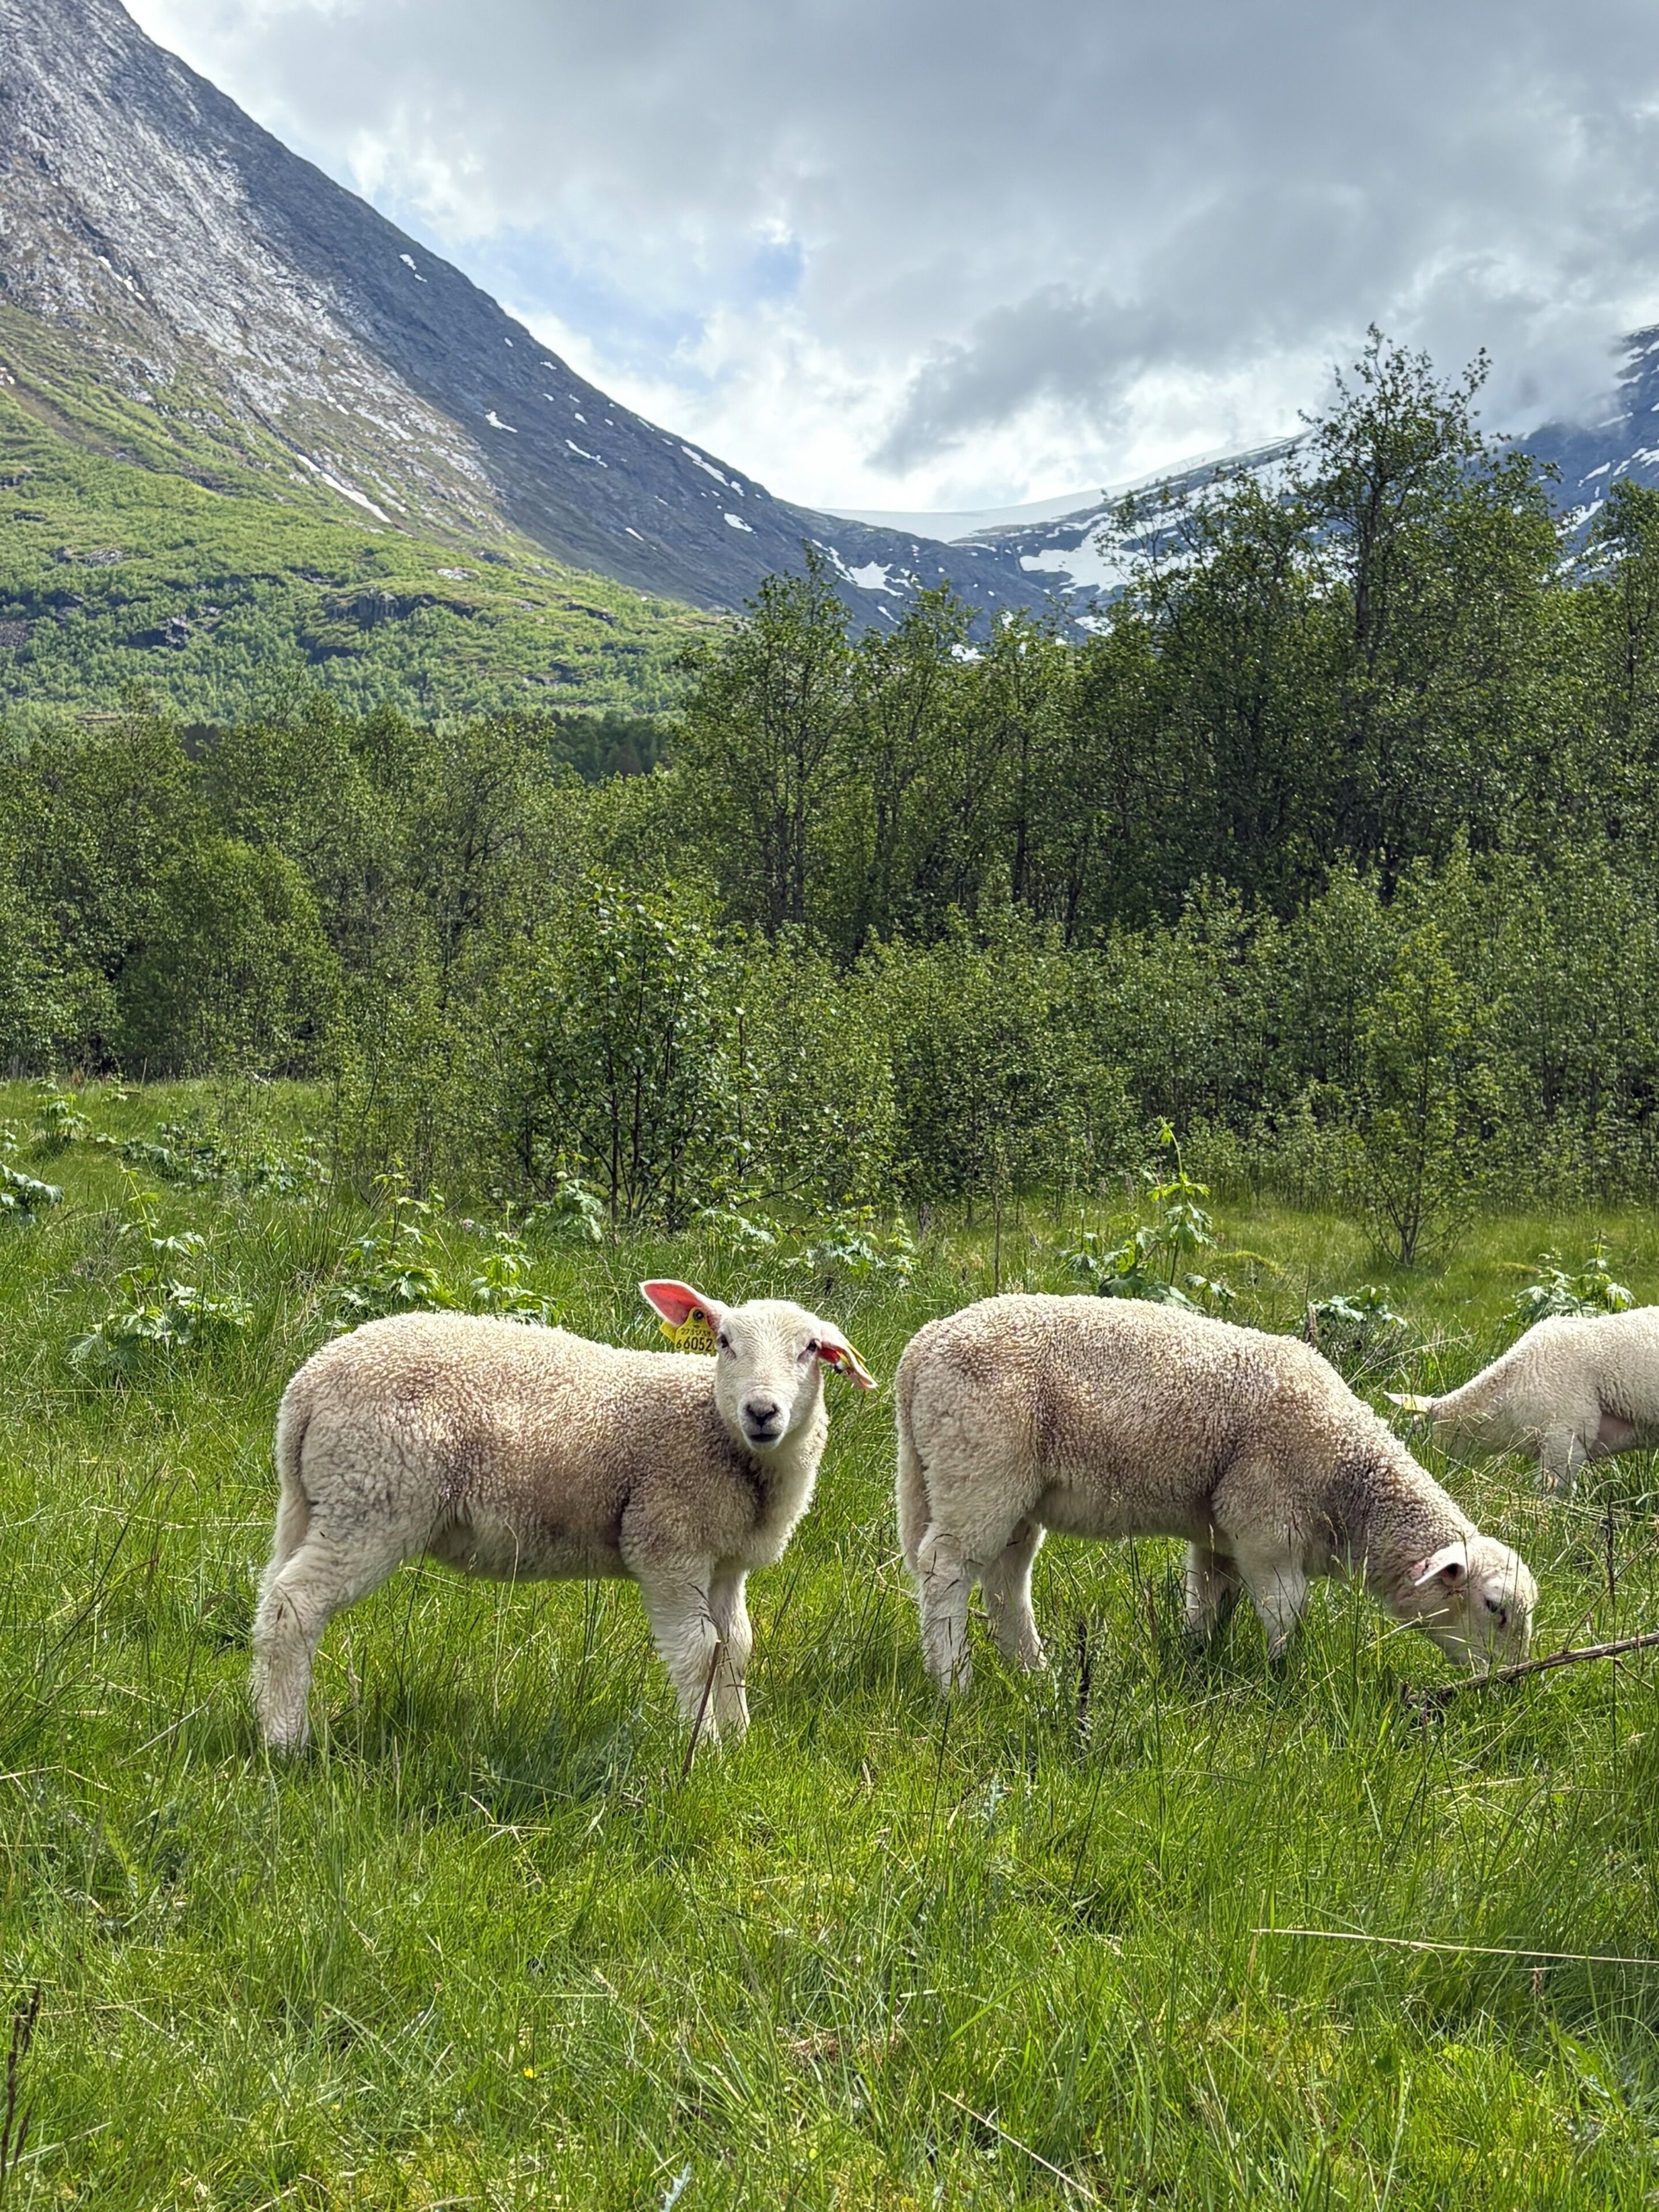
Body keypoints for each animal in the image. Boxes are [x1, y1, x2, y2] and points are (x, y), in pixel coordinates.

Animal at [250, 1279, 875, 1752]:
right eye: (724, 1342)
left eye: (811, 1349)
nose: (762, 1411)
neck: (718, 1435)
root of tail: (307, 1387)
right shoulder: (666, 1540)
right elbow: (699, 1651)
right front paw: (704, 1750)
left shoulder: (725, 1561)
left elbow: (736, 1647)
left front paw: (740, 1740)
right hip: (373, 1496)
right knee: (294, 1605)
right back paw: (285, 1742)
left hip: (317, 1502)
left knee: (268, 1598)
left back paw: (261, 1712)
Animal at [894, 1294, 1536, 1689]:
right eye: (1495, 1608)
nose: (1508, 1685)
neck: (1349, 1481)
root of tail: (922, 1348)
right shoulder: (1267, 1526)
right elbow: (1285, 1613)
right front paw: (1282, 1680)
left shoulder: (1219, 1536)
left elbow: (1207, 1603)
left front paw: (1196, 1665)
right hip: (980, 1466)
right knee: (946, 1568)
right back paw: (955, 1685)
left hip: (990, 1484)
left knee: (1006, 1580)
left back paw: (1036, 1674)